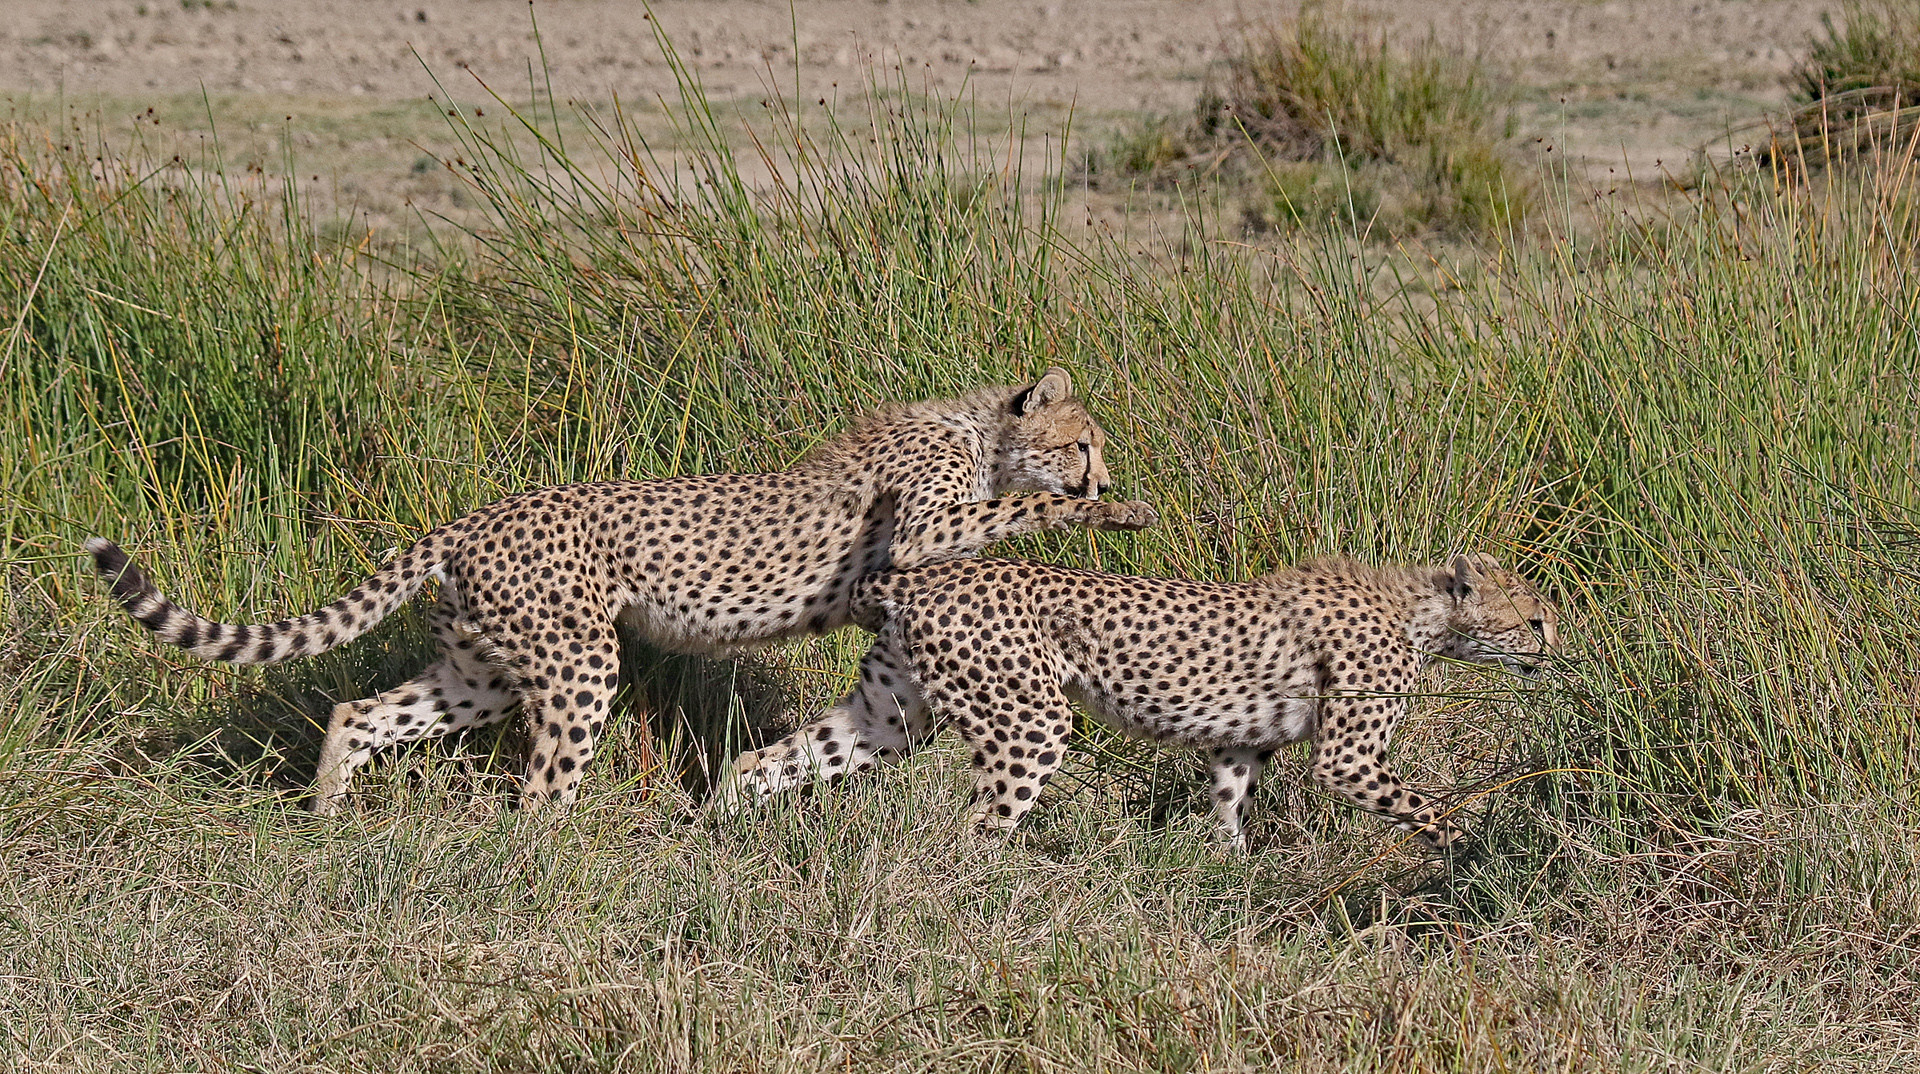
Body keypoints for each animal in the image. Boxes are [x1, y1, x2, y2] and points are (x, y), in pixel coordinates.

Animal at [93, 368, 1152, 814]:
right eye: (1081, 445)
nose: (1098, 474)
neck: (980, 431)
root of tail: (475, 517)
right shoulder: (922, 530)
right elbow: (1013, 514)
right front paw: (1114, 513)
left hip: (483, 668)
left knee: (362, 711)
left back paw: (325, 820)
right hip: (578, 661)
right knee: (540, 789)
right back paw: (552, 868)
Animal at [721, 553, 1559, 849]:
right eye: (1533, 619)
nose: (1553, 649)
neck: (1423, 613)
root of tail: (923, 573)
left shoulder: (1237, 743)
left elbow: (1229, 807)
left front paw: (1226, 874)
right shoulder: (1347, 759)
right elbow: (1429, 808)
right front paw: (1470, 853)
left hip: (892, 714)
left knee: (761, 762)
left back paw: (711, 837)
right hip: (1032, 721)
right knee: (973, 828)